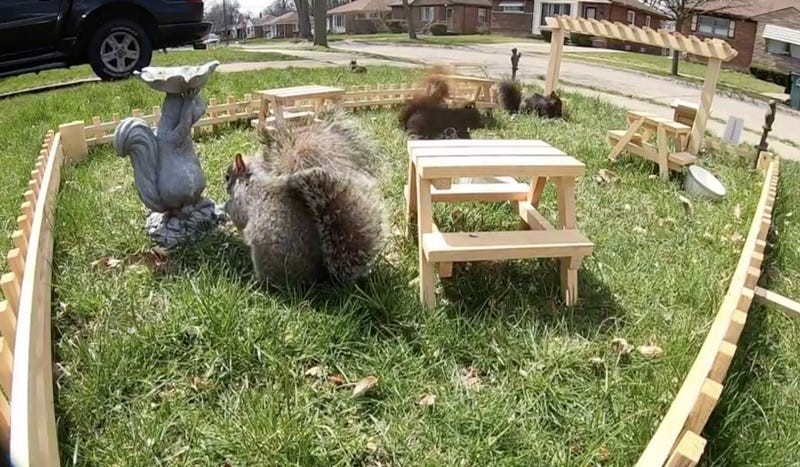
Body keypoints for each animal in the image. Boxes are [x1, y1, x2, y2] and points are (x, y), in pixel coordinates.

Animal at [224, 111, 387, 288]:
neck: (251, 178)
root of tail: (319, 278)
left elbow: (238, 216)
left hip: (265, 256)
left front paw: (225, 206)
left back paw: (256, 282)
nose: (224, 186)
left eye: (227, 176)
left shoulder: (244, 198)